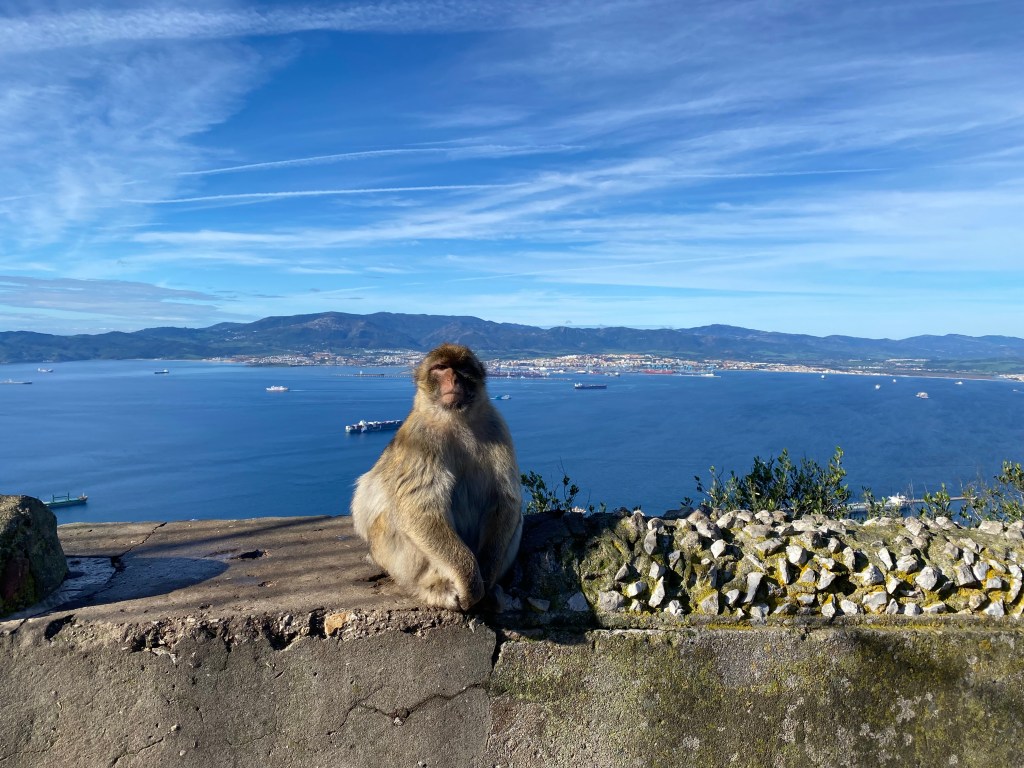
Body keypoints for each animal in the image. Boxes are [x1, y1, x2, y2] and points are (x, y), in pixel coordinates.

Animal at [350, 343, 523, 611]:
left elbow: (505, 500)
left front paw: (486, 574)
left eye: (462, 367)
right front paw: (471, 584)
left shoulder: (496, 426)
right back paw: (434, 588)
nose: (453, 378)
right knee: (393, 520)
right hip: (389, 556)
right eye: (440, 368)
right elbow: (419, 508)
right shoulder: (420, 437)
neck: (455, 418)